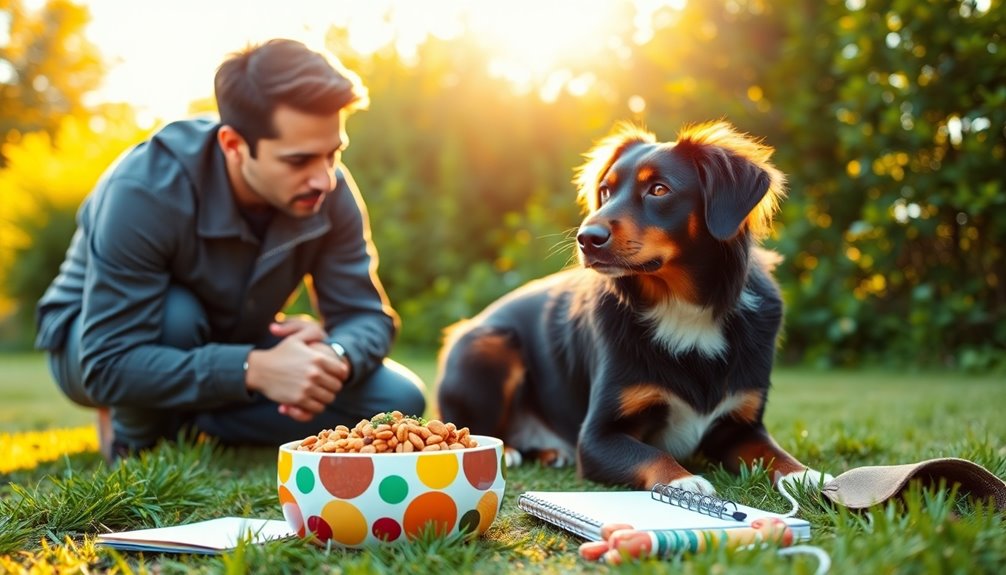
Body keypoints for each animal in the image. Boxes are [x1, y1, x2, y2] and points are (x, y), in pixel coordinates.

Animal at [436, 121, 828, 494]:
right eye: (605, 191)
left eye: (659, 189)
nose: (586, 239)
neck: (682, 307)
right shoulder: (596, 437)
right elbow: (653, 455)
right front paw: (683, 482)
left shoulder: (741, 426)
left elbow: (774, 452)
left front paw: (806, 475)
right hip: (489, 345)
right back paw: (512, 451)